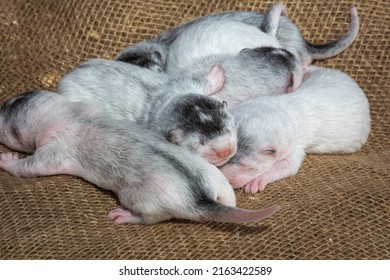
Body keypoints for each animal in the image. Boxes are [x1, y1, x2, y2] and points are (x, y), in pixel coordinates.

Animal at [0, 92, 280, 225]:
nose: (1, 106)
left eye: (4, 119)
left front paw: (8, 160)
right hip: (215, 176)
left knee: (151, 217)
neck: (64, 111)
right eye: (12, 100)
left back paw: (126, 216)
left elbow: (35, 166)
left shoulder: (57, 145)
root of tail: (200, 198)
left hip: (142, 198)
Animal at [57, 58, 235, 165]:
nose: (224, 151)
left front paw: (216, 72)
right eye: (200, 142)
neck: (166, 99)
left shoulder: (183, 85)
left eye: (228, 129)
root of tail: (65, 79)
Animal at [221, 66, 370, 194]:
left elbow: (288, 166)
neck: (277, 110)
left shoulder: (294, 145)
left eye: (249, 168)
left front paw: (256, 181)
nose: (228, 182)